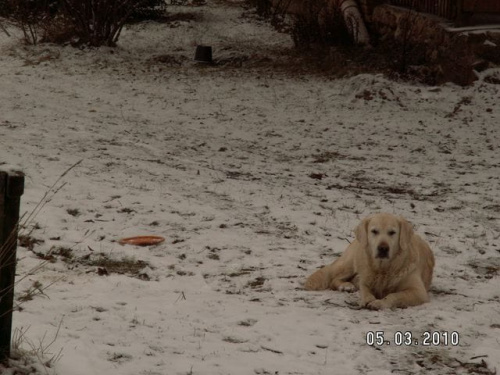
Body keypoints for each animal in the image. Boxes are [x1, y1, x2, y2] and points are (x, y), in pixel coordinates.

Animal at [304, 213, 434, 310]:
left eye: (392, 232)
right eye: (374, 231)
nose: (383, 248)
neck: (383, 269)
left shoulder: (418, 292)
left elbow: (394, 295)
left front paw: (380, 302)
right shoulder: (364, 281)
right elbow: (365, 291)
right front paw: (368, 299)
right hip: (350, 263)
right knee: (333, 279)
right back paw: (346, 286)